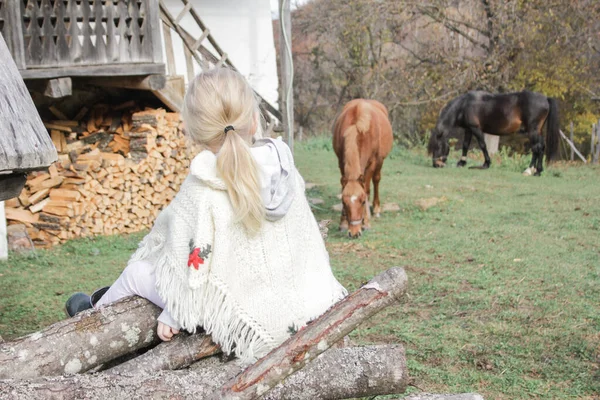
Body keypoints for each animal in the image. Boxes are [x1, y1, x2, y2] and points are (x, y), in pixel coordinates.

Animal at [332, 99, 394, 239]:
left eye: (362, 202)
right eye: (344, 202)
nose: (354, 233)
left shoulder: (372, 163)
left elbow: (366, 190)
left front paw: (366, 223)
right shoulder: (341, 163)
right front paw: (343, 224)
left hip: (380, 162)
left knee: (376, 181)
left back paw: (376, 209)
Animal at [428, 92, 560, 177]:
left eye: (437, 147)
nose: (435, 165)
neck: (464, 105)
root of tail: (545, 98)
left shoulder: (476, 129)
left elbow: (482, 145)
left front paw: (486, 163)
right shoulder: (468, 129)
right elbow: (465, 145)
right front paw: (462, 163)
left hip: (533, 131)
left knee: (536, 149)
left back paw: (530, 170)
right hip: (537, 131)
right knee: (540, 148)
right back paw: (537, 171)